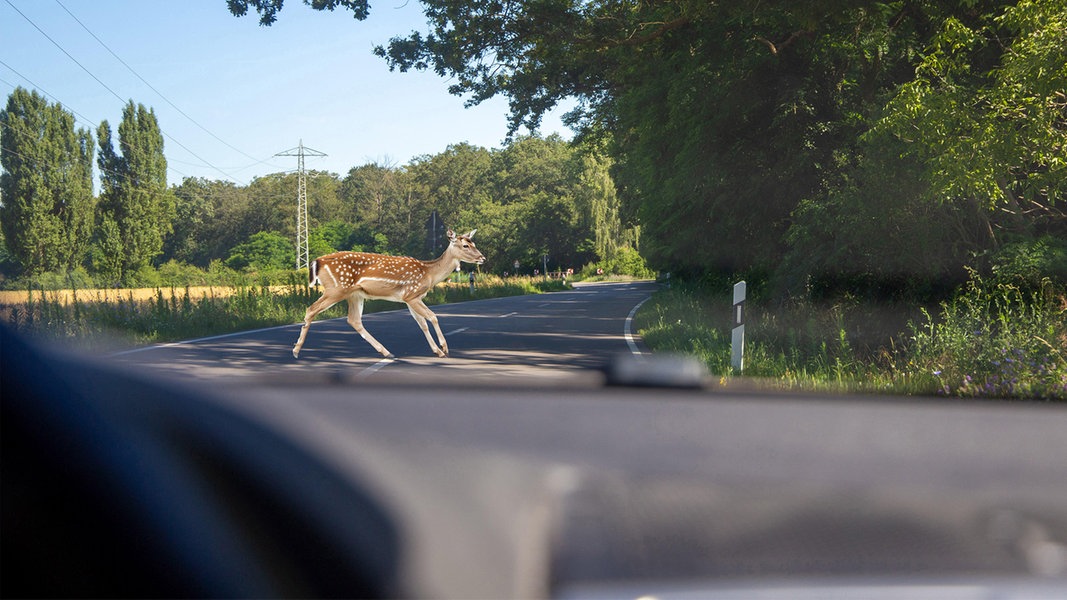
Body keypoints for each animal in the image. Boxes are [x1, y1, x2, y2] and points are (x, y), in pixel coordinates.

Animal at [296, 228, 488, 356]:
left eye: (474, 243)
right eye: (465, 245)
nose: (482, 258)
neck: (429, 273)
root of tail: (317, 262)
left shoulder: (410, 298)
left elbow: (422, 323)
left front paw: (437, 351)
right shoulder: (412, 293)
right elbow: (432, 317)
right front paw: (444, 348)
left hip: (354, 294)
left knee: (354, 320)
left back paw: (386, 352)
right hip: (336, 288)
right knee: (311, 309)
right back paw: (296, 350)